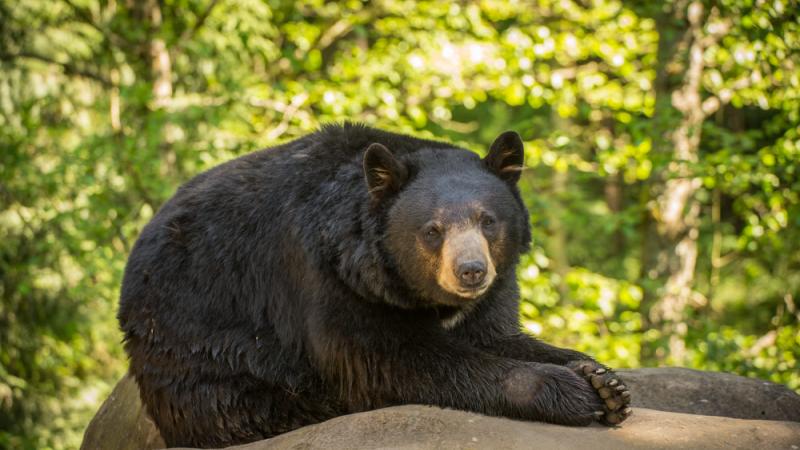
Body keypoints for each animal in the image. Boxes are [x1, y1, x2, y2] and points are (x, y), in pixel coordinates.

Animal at [119, 122, 632, 446]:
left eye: (488, 220)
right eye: (432, 229)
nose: (470, 271)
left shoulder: (494, 292)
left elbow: (496, 334)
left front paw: (604, 381)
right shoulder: (328, 278)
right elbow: (386, 359)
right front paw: (570, 391)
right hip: (201, 343)